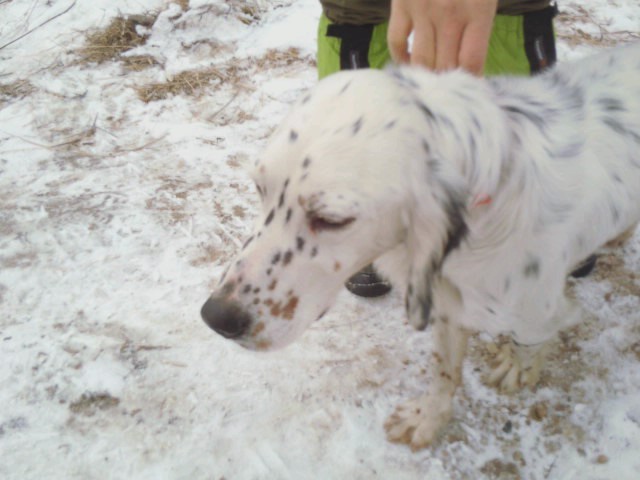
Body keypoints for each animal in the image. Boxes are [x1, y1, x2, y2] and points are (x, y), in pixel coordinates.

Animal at [201, 43, 640, 450]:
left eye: (332, 220)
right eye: (260, 189)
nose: (217, 317)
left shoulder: (536, 310)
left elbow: (530, 341)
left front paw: (518, 367)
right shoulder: (447, 303)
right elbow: (444, 370)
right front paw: (428, 419)